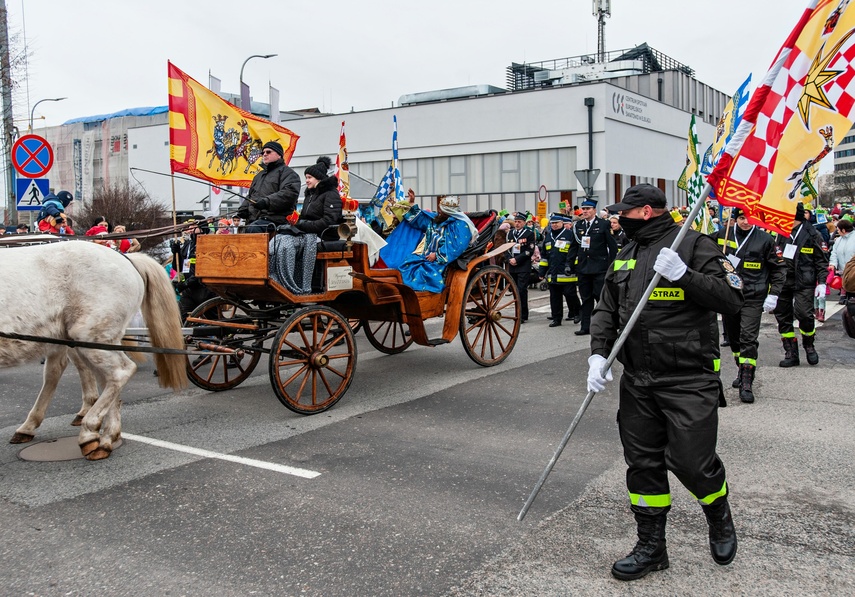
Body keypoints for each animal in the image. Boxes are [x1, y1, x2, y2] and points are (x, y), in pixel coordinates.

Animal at [0, 240, 186, 458]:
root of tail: (126, 258)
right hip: (93, 341)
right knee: (105, 378)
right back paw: (106, 438)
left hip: (88, 336)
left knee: (119, 372)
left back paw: (89, 431)